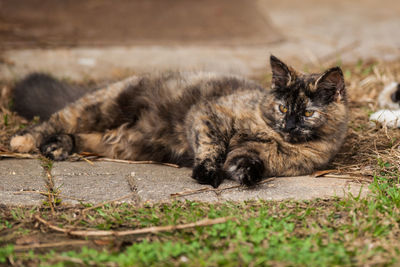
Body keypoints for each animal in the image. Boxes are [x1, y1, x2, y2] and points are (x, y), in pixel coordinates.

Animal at [9, 55, 346, 187]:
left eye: (307, 113)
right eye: (281, 108)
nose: (289, 126)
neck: (275, 140)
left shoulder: (253, 154)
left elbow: (246, 162)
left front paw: (246, 176)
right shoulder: (209, 114)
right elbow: (213, 146)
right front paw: (207, 172)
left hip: (123, 145)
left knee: (82, 137)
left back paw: (57, 147)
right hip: (103, 107)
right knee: (57, 119)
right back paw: (22, 141)